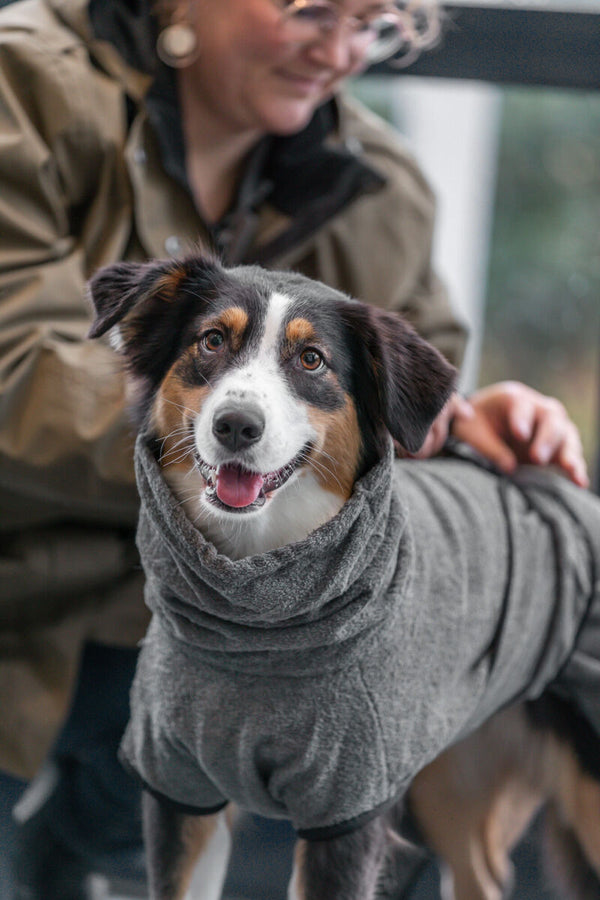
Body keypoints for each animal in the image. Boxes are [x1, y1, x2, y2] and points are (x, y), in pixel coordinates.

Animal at [89, 253, 600, 900]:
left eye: (312, 360)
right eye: (211, 340)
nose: (236, 425)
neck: (258, 623)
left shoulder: (350, 807)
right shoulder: (181, 784)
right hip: (450, 783)